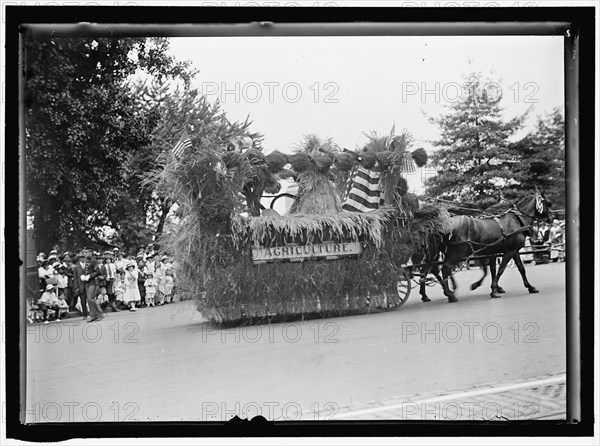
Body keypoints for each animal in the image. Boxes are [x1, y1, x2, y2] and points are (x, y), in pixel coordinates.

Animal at [420, 193, 552, 304]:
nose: (551, 218)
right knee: (445, 268)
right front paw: (493, 290)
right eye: (548, 203)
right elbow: (500, 270)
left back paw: (427, 295)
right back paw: (450, 294)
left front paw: (530, 287)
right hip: (457, 252)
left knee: (427, 269)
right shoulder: (508, 252)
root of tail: (442, 224)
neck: (515, 220)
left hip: (436, 251)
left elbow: (518, 268)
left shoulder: (506, 251)